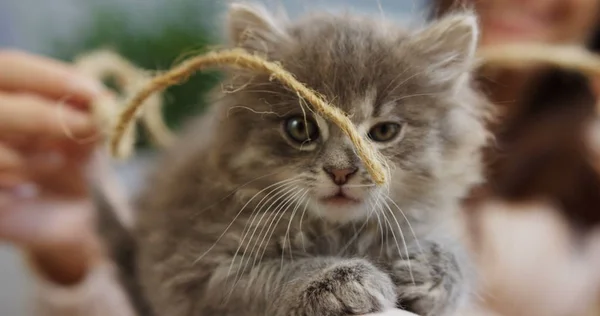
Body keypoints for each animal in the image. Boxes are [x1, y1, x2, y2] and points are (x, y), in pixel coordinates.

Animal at [134, 3, 490, 316]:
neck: (338, 231)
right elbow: (280, 275)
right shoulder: (195, 268)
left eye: (384, 131)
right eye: (300, 128)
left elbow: (459, 258)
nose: (341, 172)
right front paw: (342, 280)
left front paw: (432, 272)